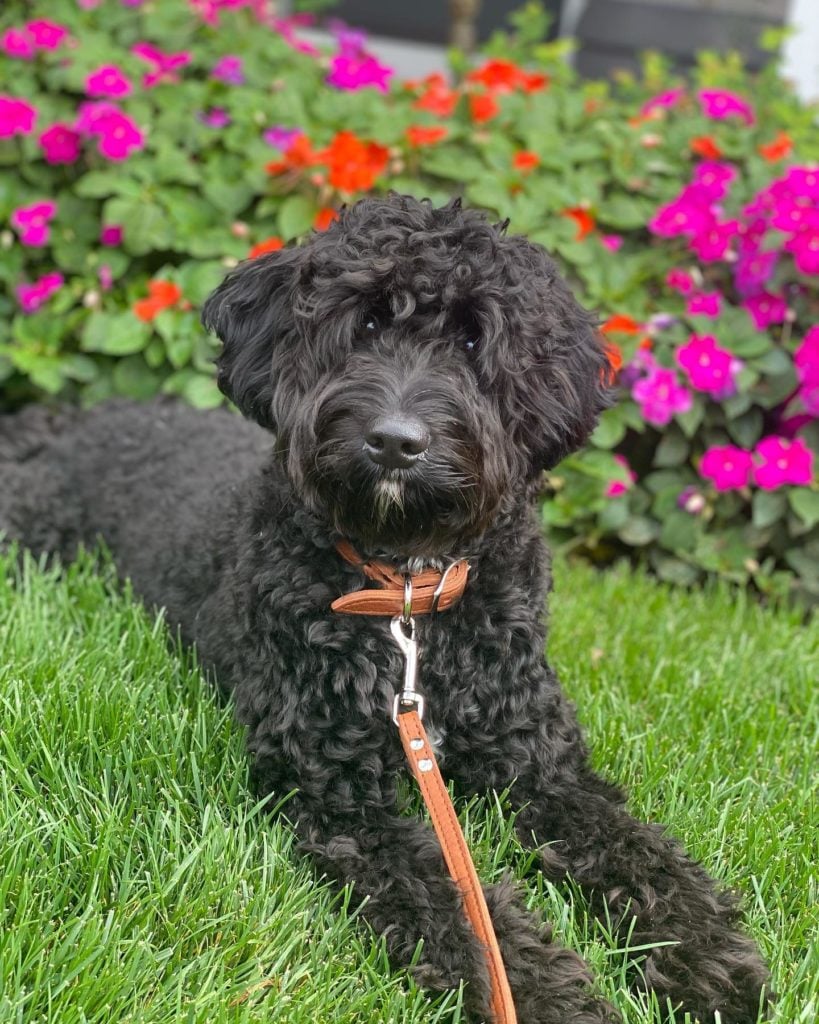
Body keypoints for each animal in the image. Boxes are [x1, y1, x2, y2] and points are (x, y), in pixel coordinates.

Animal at [0, 193, 769, 1024]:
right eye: (364, 324)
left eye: (471, 339)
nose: (395, 441)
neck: (404, 591)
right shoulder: (339, 801)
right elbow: (454, 904)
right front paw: (545, 995)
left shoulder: (540, 769)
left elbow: (635, 849)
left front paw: (704, 958)